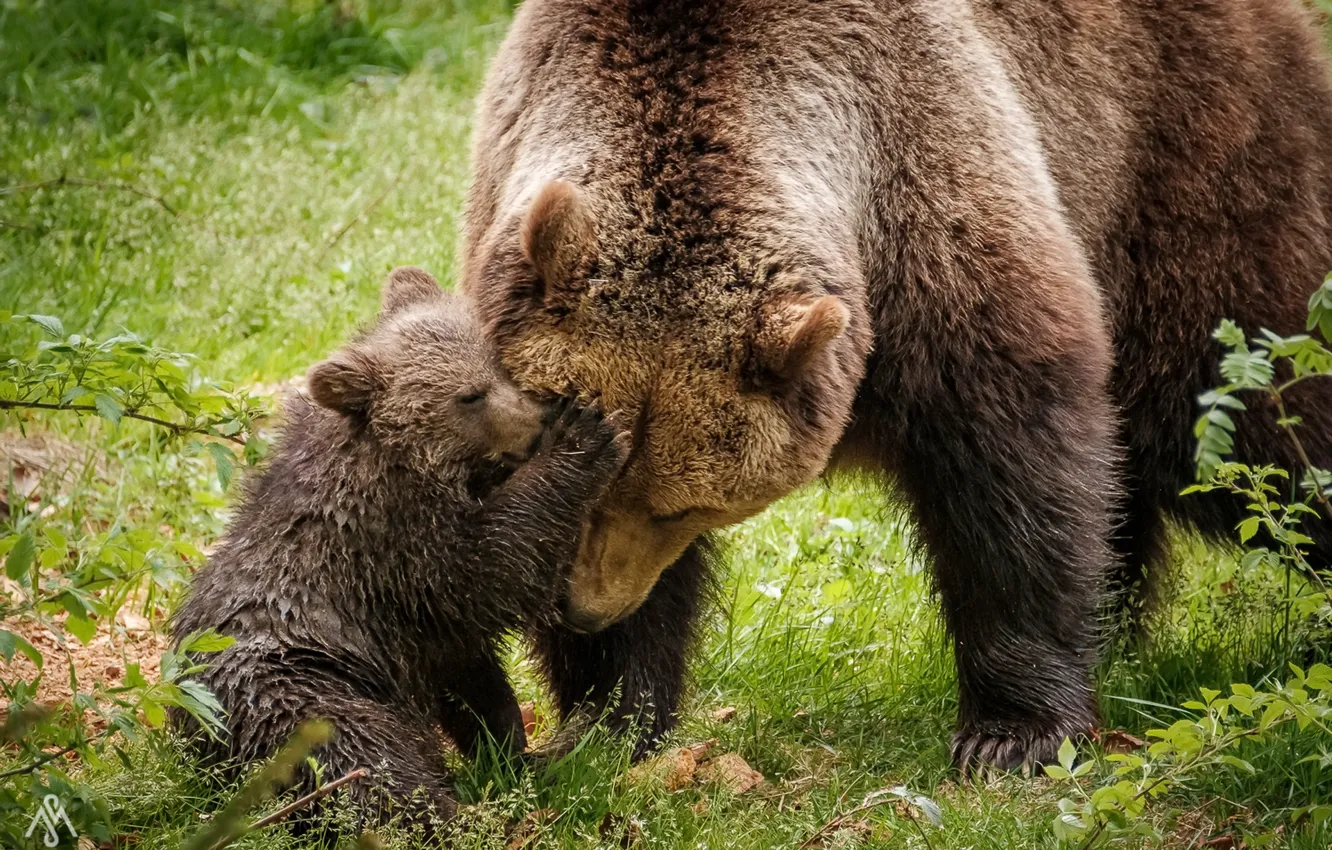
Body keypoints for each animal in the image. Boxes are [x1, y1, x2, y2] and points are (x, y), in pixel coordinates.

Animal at [170, 267, 628, 832]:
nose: (542, 418)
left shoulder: (428, 634)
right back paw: (456, 815)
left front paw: (509, 749)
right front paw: (585, 435)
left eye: (502, 363)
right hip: (298, 689)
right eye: (469, 396)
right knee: (363, 759)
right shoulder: (396, 550)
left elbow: (475, 682)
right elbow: (492, 566)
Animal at [460, 0, 1332, 773]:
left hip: (1183, 166)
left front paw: (1011, 735)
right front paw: (601, 724)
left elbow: (1011, 478)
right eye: (593, 484)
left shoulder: (933, 196)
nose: (586, 606)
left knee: (1259, 408)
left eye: (687, 505)